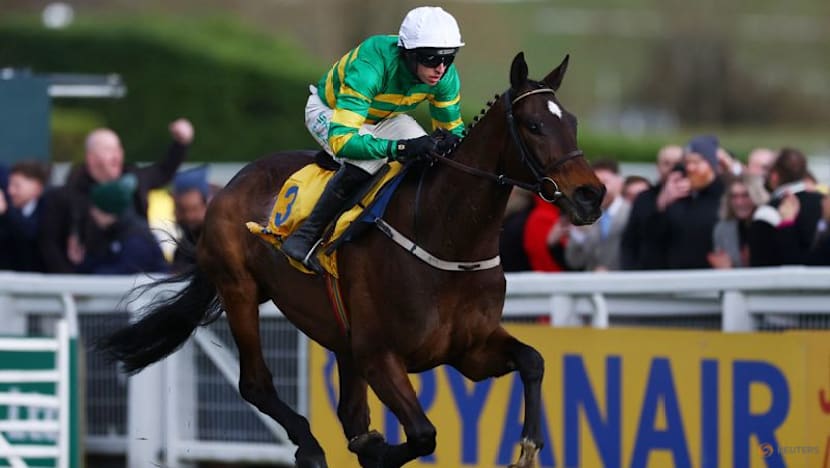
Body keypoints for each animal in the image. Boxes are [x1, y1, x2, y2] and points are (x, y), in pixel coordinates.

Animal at [100, 52, 605, 468]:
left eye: (573, 121)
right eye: (535, 126)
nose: (591, 195)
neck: (446, 241)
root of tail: (232, 182)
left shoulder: (469, 350)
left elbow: (533, 360)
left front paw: (530, 446)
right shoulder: (380, 354)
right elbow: (423, 435)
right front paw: (378, 451)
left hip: (338, 334)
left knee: (348, 410)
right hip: (240, 289)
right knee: (256, 384)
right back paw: (308, 446)